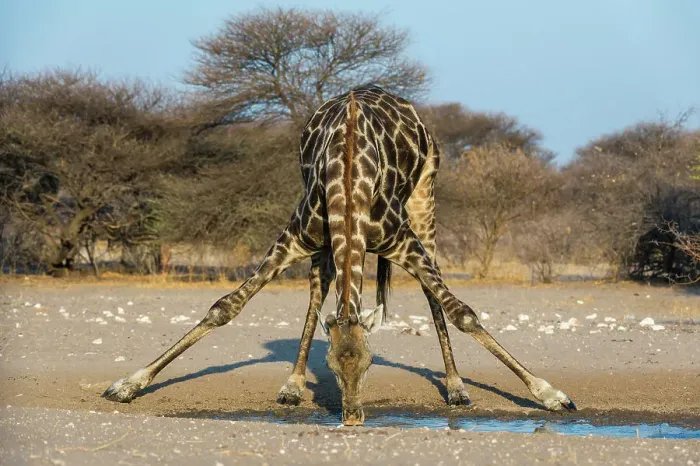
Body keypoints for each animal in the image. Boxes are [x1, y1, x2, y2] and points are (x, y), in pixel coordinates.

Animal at [103, 85, 576, 425]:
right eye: (330, 365)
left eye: (370, 364)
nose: (352, 418)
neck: (350, 179)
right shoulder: (295, 237)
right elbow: (225, 307)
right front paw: (127, 385)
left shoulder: (402, 241)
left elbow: (464, 313)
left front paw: (552, 395)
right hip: (325, 246)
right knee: (318, 295)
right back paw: (292, 385)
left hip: (425, 201)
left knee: (432, 295)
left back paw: (457, 387)